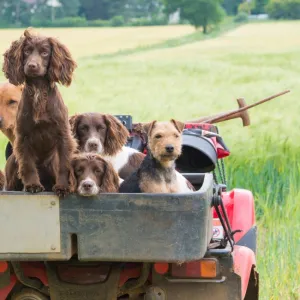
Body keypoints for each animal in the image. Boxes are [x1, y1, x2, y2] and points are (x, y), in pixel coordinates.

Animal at [2, 28, 77, 197]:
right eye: (27, 51)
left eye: (44, 53)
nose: (32, 66)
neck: (38, 90)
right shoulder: (23, 137)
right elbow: (28, 164)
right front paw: (32, 185)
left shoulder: (63, 135)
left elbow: (64, 164)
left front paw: (62, 187)